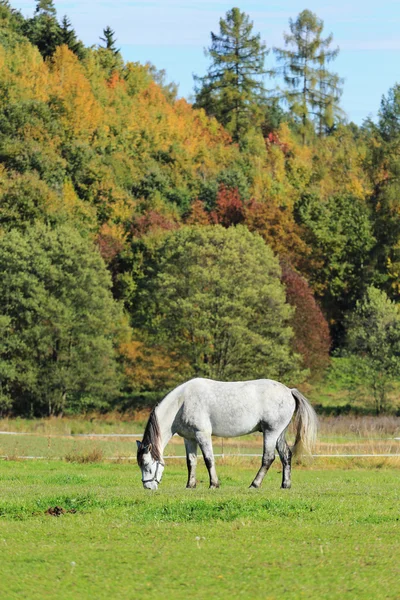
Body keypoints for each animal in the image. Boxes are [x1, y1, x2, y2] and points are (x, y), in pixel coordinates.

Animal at [136, 378, 318, 490]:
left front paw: (214, 484)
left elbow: (209, 460)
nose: (148, 487)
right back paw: (285, 485)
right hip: (278, 434)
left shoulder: (202, 435)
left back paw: (254, 484)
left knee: (268, 458)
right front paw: (190, 485)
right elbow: (191, 462)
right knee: (286, 455)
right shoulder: (189, 438)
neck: (182, 402)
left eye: (147, 464)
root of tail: (289, 391)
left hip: (271, 433)